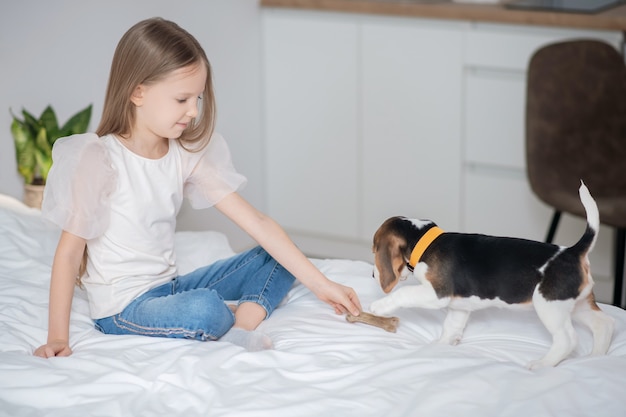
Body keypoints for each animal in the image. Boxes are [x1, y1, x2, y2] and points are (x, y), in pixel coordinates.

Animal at [368, 182, 612, 368]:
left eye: (373, 249)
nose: (372, 275)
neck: (426, 242)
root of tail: (573, 251)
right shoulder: (459, 306)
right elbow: (450, 328)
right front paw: (440, 346)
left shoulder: (437, 294)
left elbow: (403, 294)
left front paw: (379, 306)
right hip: (576, 304)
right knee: (604, 324)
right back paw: (595, 359)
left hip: (549, 305)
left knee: (568, 339)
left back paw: (542, 364)